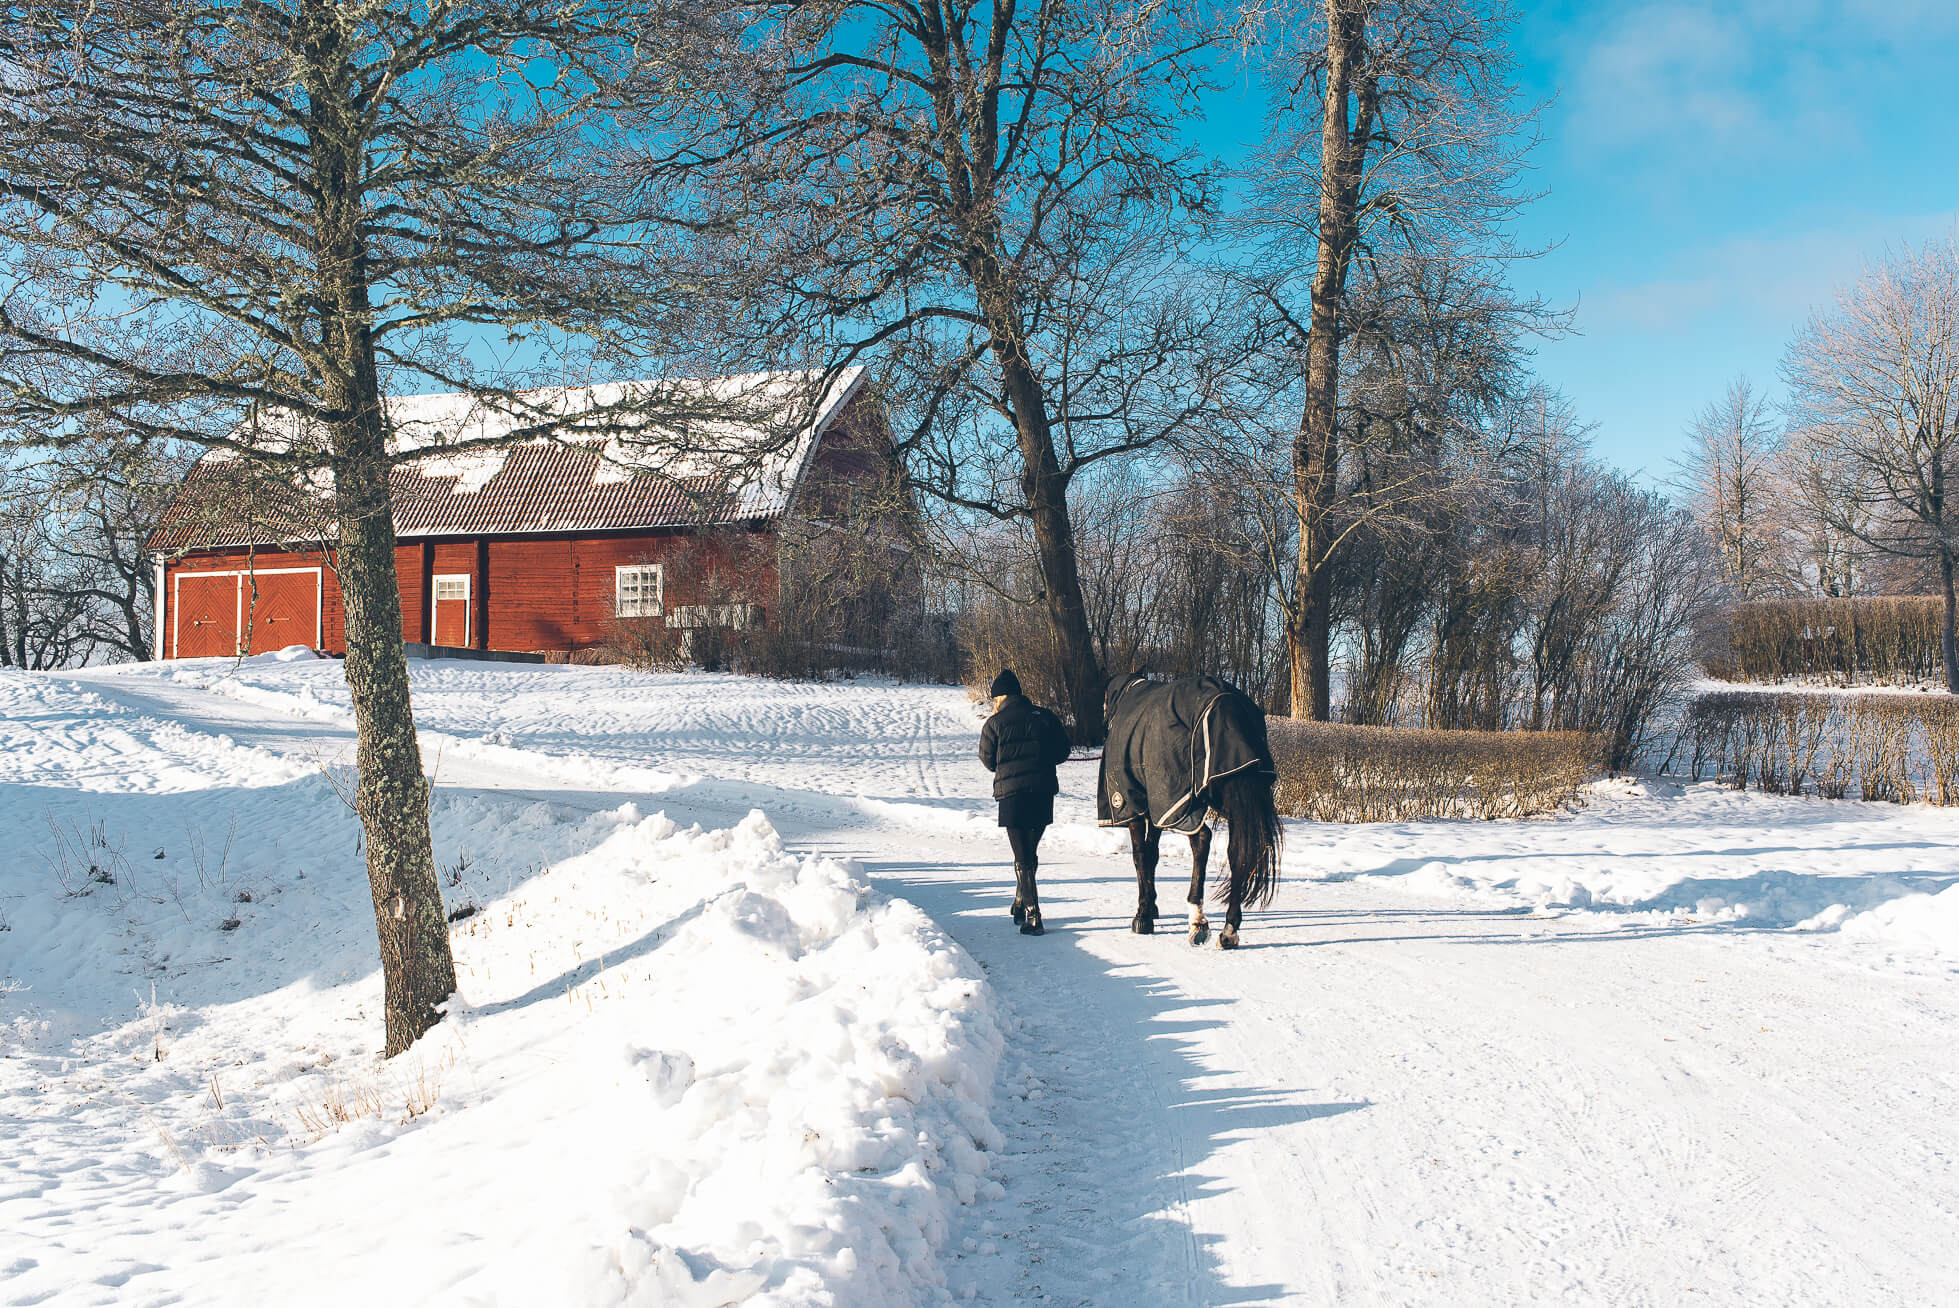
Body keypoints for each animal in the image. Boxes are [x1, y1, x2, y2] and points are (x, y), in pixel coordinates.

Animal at [1104, 673, 1285, 951]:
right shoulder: (1156, 810)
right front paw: (1151, 906)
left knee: (1201, 840)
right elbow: (1152, 854)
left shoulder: (1136, 803)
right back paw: (1229, 929)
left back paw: (1198, 921)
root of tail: (1228, 704)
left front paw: (1143, 915)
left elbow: (1140, 855)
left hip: (1182, 801)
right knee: (1238, 853)